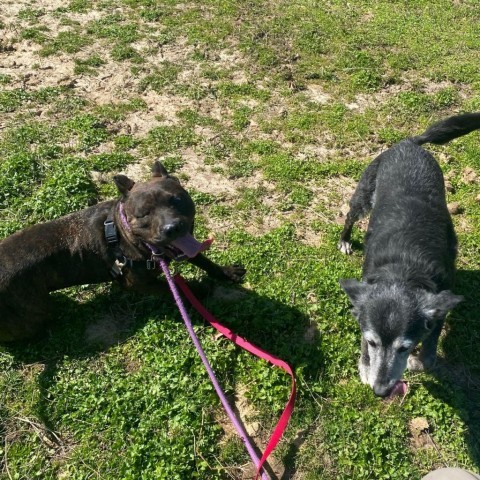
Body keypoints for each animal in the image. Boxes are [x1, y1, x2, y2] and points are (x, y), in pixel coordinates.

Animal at [0, 161, 246, 342]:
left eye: (176, 200)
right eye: (144, 214)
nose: (172, 227)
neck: (125, 233)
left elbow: (203, 259)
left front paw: (226, 272)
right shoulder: (138, 284)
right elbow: (171, 287)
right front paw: (196, 290)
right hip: (34, 314)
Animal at [338, 112, 480, 398]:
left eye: (404, 347)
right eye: (372, 342)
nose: (380, 391)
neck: (402, 272)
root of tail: (409, 143)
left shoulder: (438, 306)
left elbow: (430, 352)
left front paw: (418, 361)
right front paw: (365, 367)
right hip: (363, 196)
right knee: (349, 217)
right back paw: (345, 240)